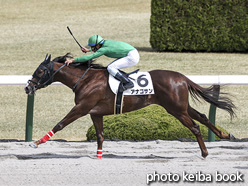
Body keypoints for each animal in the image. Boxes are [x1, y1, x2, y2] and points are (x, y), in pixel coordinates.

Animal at [24, 53, 235, 158]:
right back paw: (225, 135)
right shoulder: (95, 112)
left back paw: (205, 153)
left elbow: (60, 124)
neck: (85, 79)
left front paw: (37, 142)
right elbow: (100, 135)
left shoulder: (82, 108)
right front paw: (99, 156)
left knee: (195, 126)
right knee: (203, 117)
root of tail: (182, 77)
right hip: (181, 106)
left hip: (176, 109)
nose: (28, 87)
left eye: (40, 71)